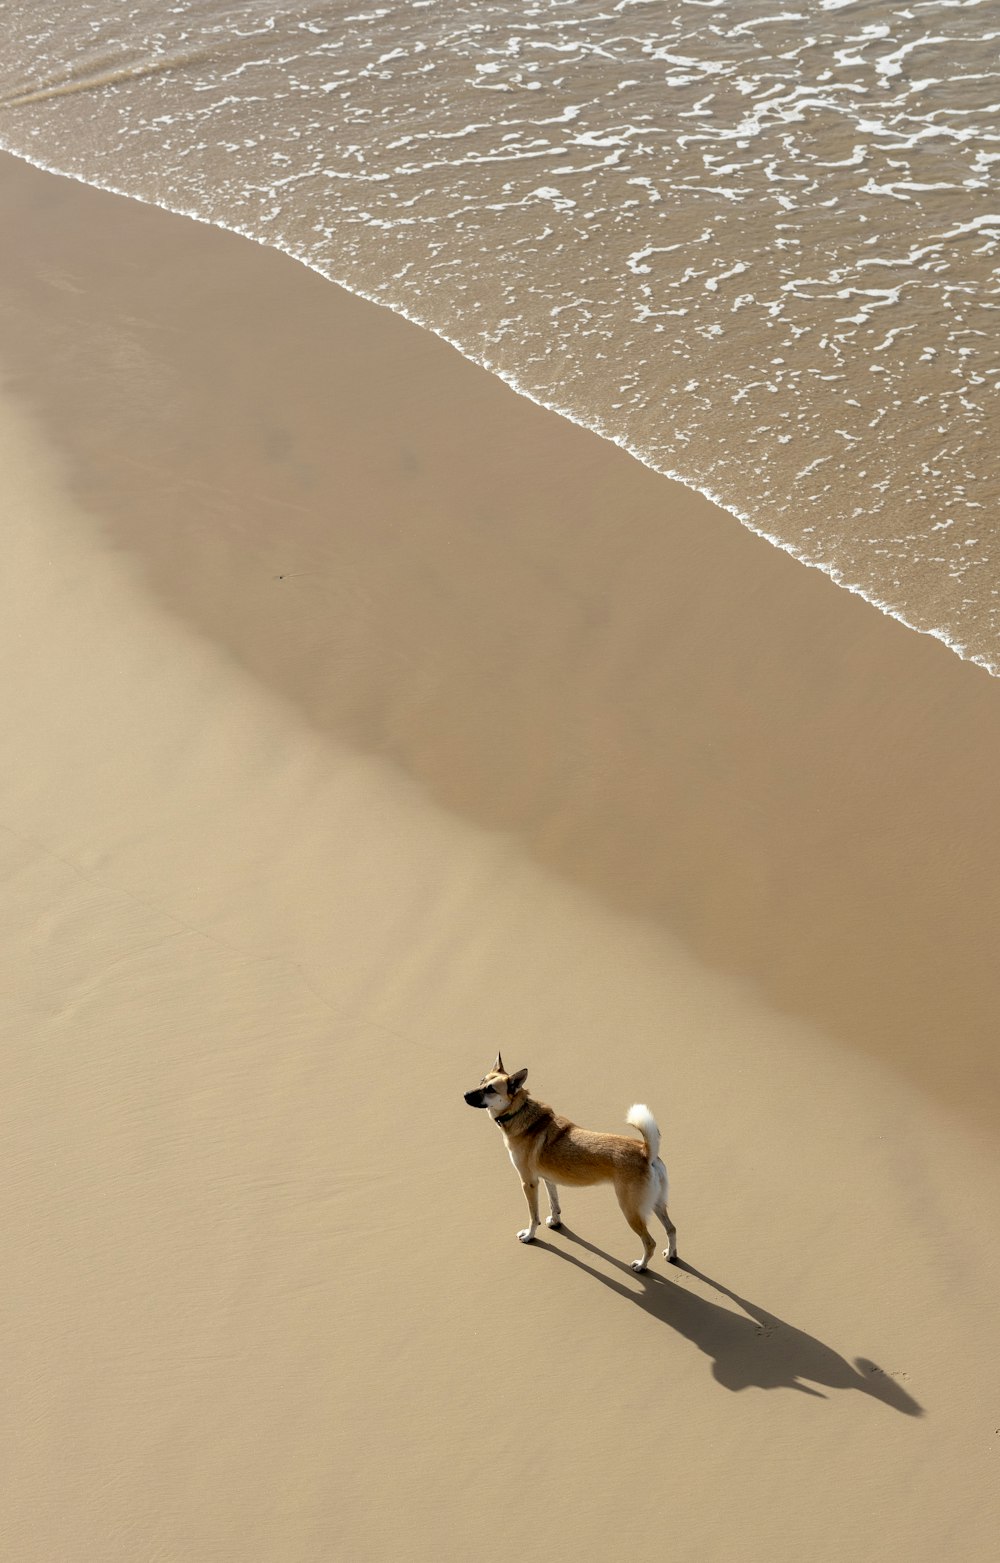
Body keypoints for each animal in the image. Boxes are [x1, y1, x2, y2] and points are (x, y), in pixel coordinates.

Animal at [465, 1056, 675, 1275]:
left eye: (490, 1089)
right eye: (481, 1081)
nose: (464, 1095)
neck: (518, 1111)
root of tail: (646, 1152)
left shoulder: (529, 1183)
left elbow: (533, 1215)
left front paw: (530, 1235)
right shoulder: (547, 1179)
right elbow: (554, 1204)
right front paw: (555, 1222)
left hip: (630, 1209)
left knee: (650, 1242)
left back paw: (641, 1265)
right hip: (657, 1203)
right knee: (671, 1229)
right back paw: (671, 1255)